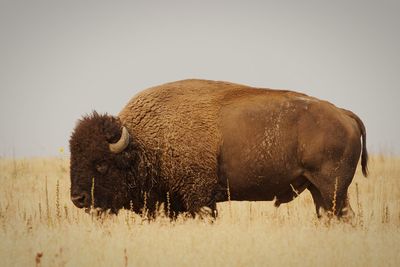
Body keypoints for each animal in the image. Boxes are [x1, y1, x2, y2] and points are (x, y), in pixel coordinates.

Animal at [69, 80, 368, 220]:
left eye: (101, 164)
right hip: (317, 189)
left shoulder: (199, 197)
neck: (143, 143)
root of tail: (343, 113)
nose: (78, 199)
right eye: (74, 159)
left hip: (332, 187)